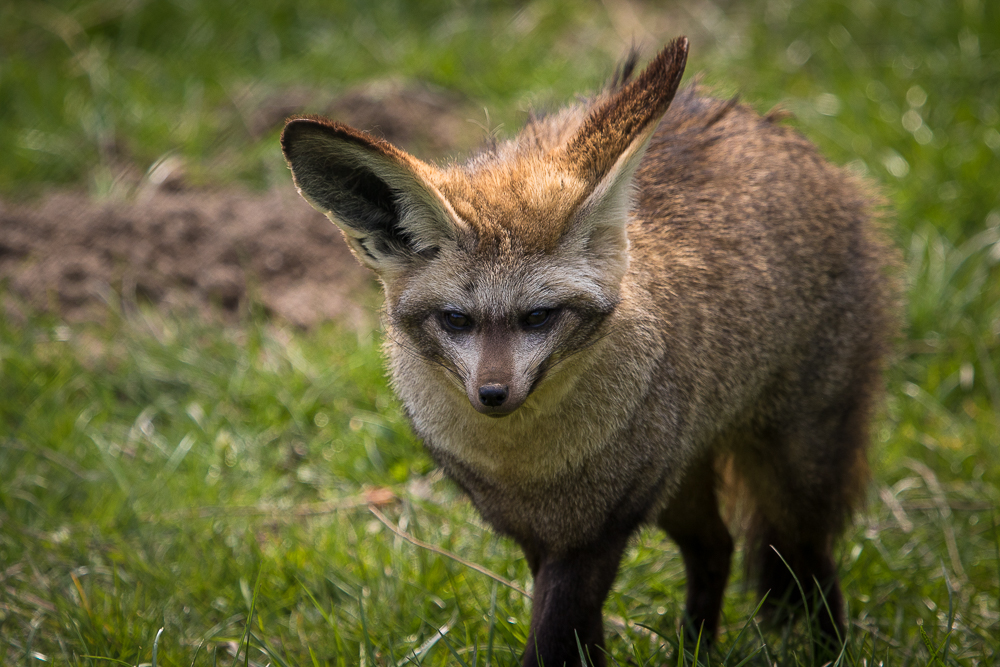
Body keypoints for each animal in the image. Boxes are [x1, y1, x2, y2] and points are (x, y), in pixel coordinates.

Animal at [282, 35, 900, 667]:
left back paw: (828, 647)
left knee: (810, 564)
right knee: (717, 548)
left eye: (538, 317)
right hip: (681, 493)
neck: (531, 469)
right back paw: (694, 647)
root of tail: (767, 126)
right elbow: (577, 636)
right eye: (456, 319)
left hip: (793, 475)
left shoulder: (597, 534)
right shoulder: (540, 538)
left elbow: (555, 637)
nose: (493, 394)